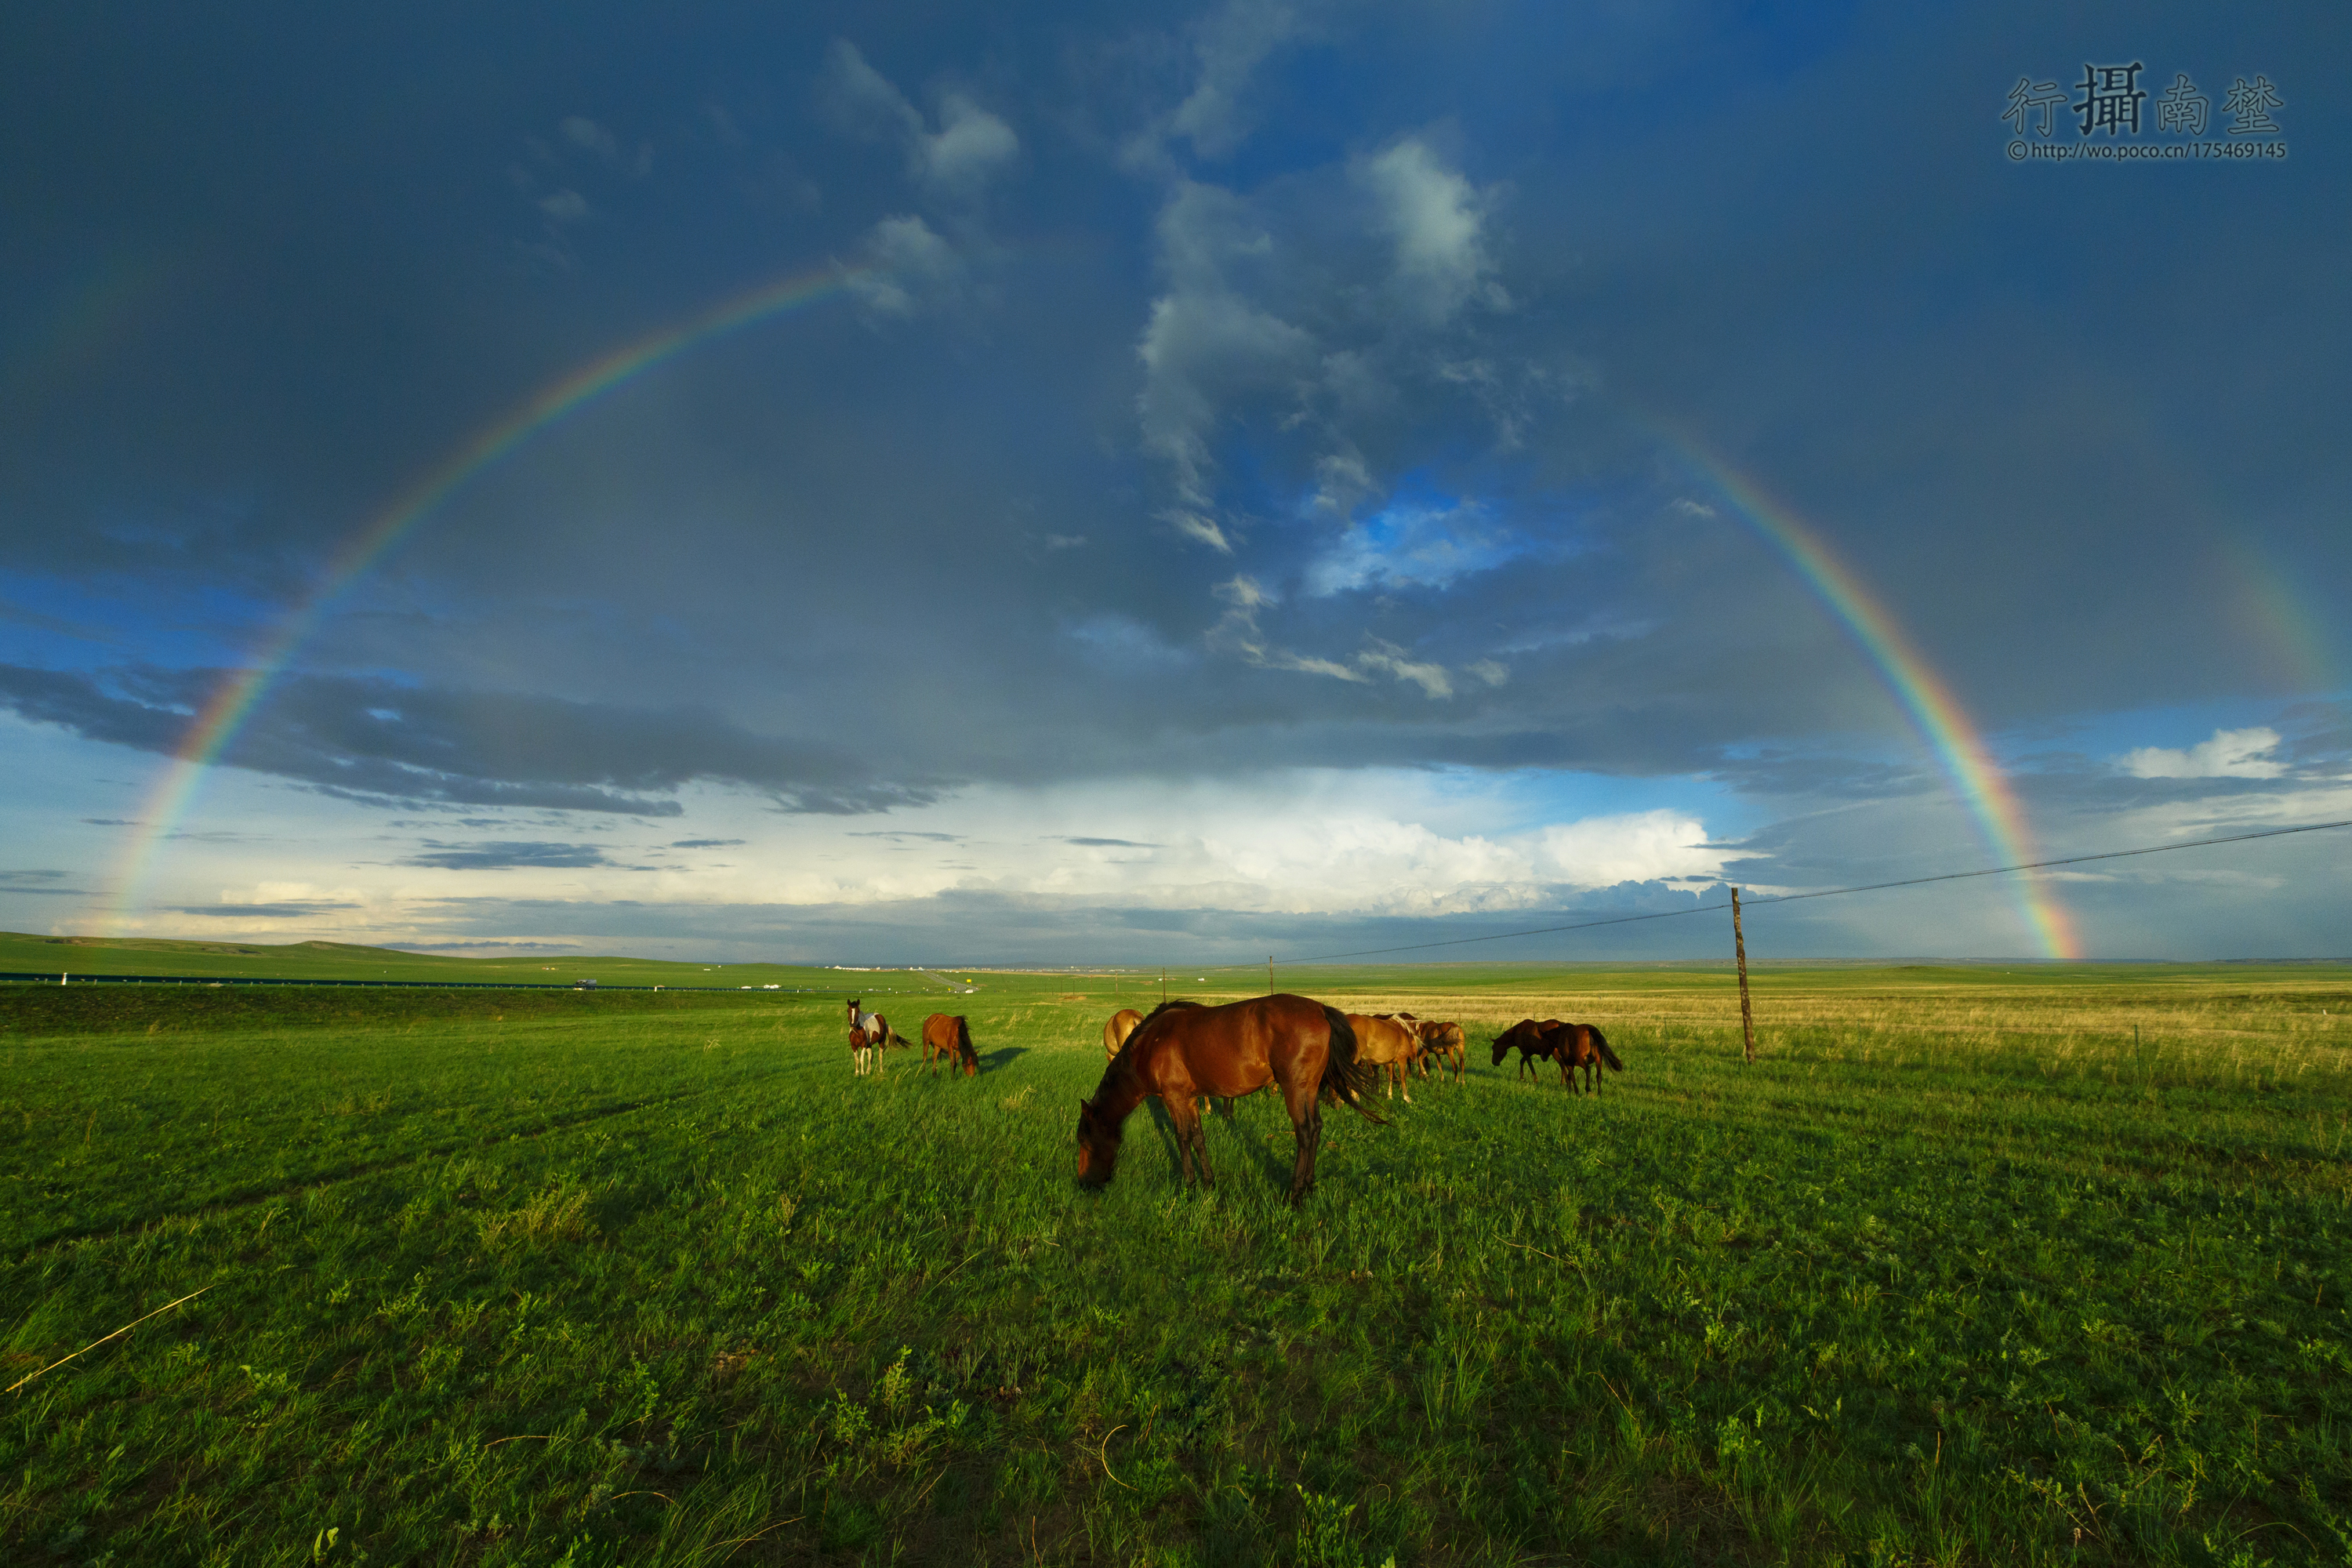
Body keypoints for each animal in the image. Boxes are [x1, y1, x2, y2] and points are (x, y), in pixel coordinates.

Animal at [1077, 1001, 1383, 1213]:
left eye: (1085, 1142)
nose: (1084, 1183)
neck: (1151, 1043)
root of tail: (1320, 1010)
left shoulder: (1174, 1097)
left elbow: (1182, 1138)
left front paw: (1188, 1185)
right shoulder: (1189, 1099)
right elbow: (1198, 1138)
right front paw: (1208, 1183)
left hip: (1295, 1088)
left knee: (1305, 1132)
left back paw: (1295, 1194)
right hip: (1308, 1088)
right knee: (1317, 1129)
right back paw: (1308, 1187)